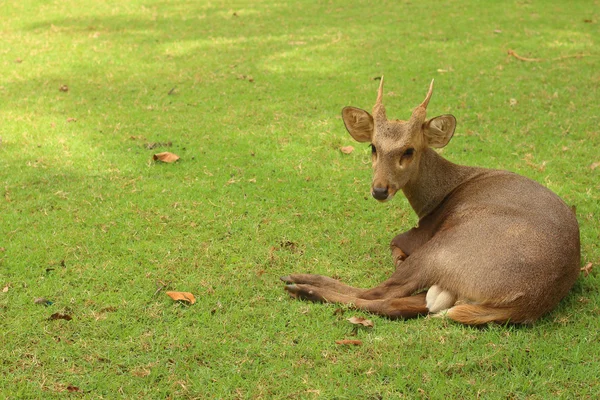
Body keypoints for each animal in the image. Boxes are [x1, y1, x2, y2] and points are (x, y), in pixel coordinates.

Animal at [282, 78, 580, 324]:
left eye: (409, 150)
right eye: (373, 147)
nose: (379, 190)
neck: (439, 194)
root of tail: (524, 302)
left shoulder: (418, 234)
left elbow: (394, 246)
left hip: (442, 249)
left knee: (379, 293)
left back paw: (300, 285)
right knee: (405, 304)